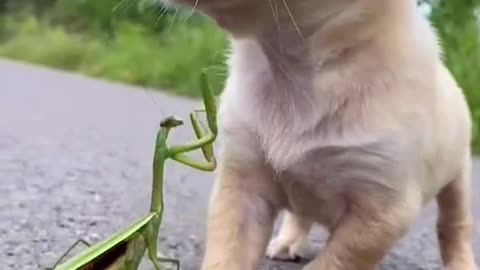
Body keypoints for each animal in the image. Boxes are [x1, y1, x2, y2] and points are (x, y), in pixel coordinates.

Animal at [160, 0, 476, 270]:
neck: (291, 68)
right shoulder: (242, 187)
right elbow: (226, 255)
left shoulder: (383, 212)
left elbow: (336, 260)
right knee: (299, 213)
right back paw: (289, 242)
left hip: (457, 179)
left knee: (454, 225)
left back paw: (461, 262)